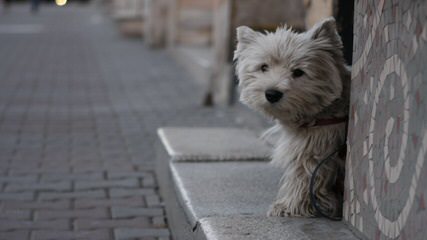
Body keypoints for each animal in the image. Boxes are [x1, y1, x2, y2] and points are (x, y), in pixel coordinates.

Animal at [234, 17, 352, 217]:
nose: (272, 93)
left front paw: (288, 206)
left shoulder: (313, 148)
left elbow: (303, 177)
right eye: (263, 67)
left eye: (298, 72)